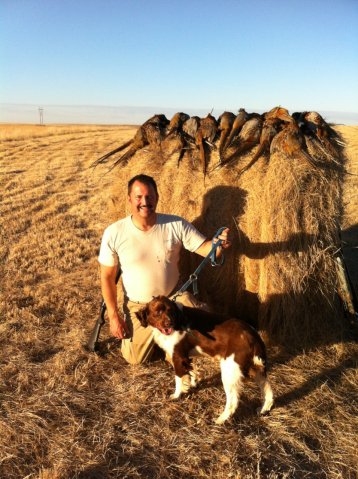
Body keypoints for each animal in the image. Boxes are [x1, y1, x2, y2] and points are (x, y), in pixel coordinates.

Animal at [135, 296, 274, 424]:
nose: (169, 323)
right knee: (268, 391)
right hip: (257, 369)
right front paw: (193, 384)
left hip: (230, 371)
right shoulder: (187, 358)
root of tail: (253, 336)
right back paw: (263, 409)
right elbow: (192, 372)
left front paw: (176, 395)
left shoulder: (178, 357)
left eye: (171, 311)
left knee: (233, 402)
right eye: (158, 312)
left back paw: (220, 420)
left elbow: (179, 379)